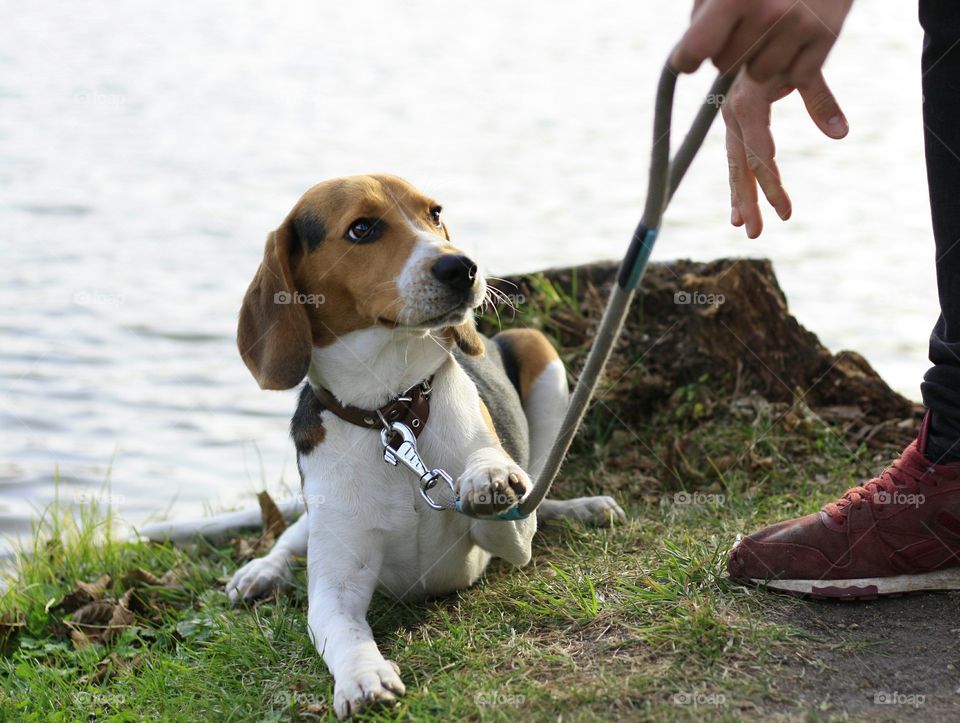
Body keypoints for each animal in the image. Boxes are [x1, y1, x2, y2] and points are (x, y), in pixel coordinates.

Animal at [146, 174, 624, 720]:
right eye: (362, 228)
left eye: (435, 213)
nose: (463, 266)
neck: (392, 413)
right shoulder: (337, 585)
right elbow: (345, 633)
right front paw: (363, 676)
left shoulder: (508, 538)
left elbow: (505, 498)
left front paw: (489, 474)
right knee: (294, 535)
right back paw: (261, 570)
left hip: (537, 349)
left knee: (541, 488)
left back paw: (580, 506)